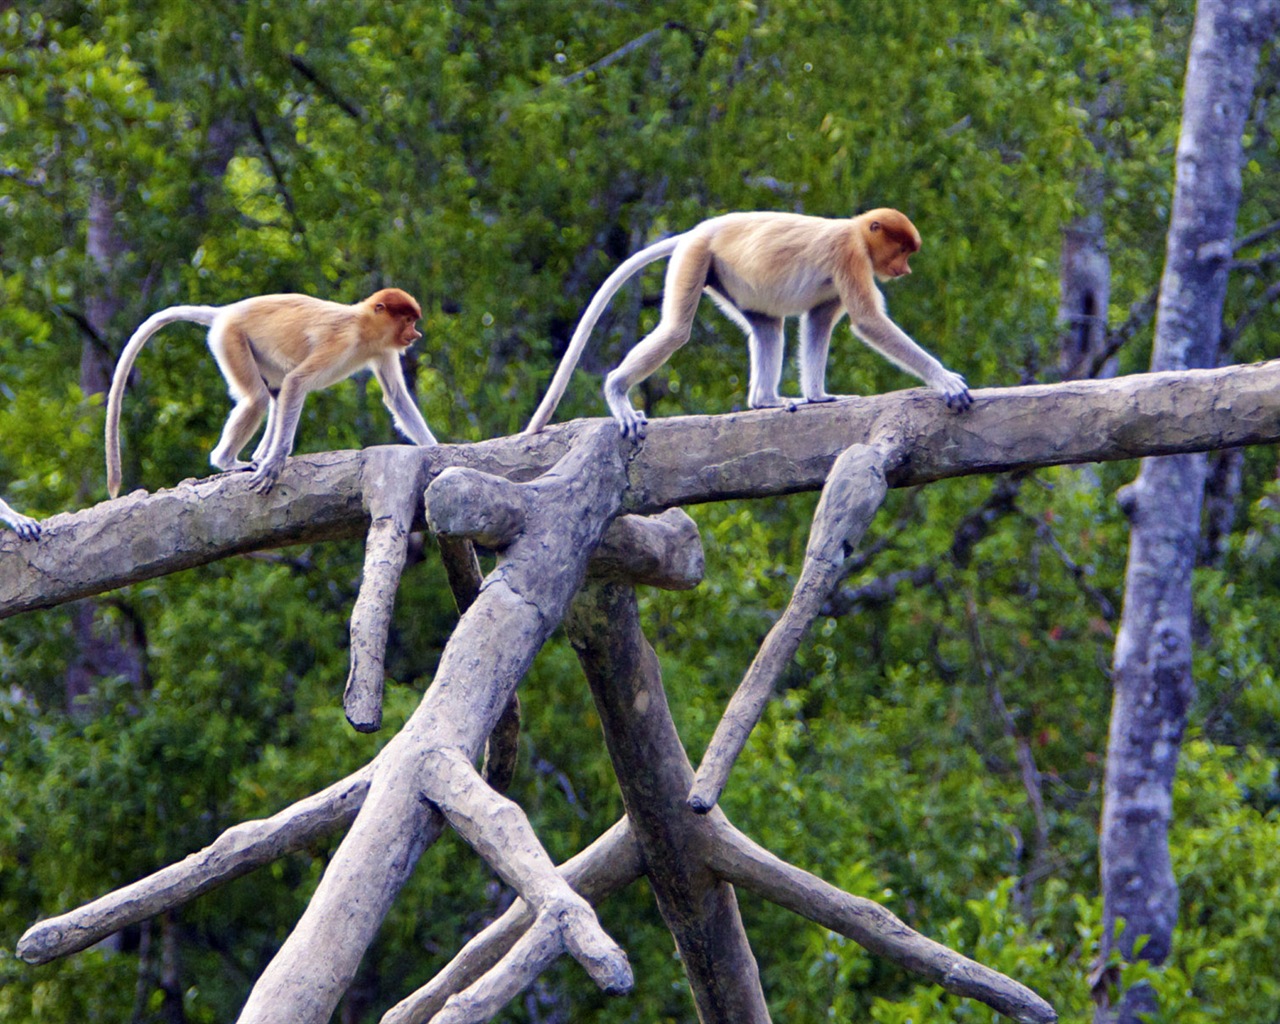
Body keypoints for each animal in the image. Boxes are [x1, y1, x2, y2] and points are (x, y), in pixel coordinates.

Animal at [106, 285, 435, 499]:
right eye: (408, 319)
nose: (416, 334)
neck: (364, 325)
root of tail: (226, 311)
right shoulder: (342, 339)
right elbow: (298, 382)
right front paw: (276, 463)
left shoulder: (382, 349)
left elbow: (395, 396)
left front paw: (434, 448)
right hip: (231, 338)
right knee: (259, 398)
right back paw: (230, 461)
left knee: (275, 393)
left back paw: (257, 454)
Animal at [519, 207, 967, 435]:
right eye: (902, 249)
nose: (905, 270)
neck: (857, 229)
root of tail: (700, 229)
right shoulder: (850, 255)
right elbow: (868, 321)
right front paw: (946, 381)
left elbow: (818, 322)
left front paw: (820, 397)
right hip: (696, 256)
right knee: (676, 330)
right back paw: (617, 391)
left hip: (728, 279)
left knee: (768, 326)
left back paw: (766, 400)